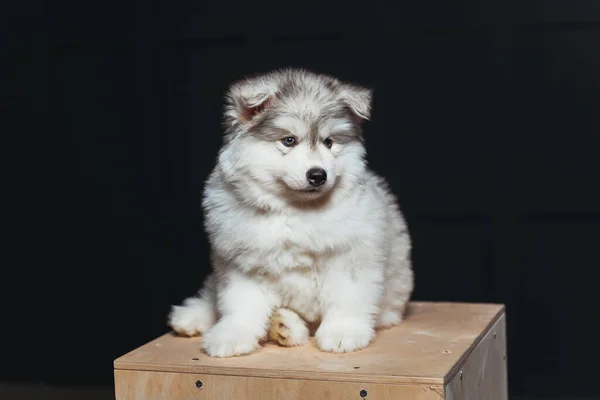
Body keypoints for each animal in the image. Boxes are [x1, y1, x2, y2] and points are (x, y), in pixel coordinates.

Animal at [168, 68, 412, 356]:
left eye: (329, 142)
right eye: (289, 140)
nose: (318, 175)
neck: (294, 210)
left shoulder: (351, 257)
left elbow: (346, 298)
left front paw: (343, 332)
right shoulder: (241, 264)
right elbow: (240, 305)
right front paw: (233, 335)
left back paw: (283, 325)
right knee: (211, 293)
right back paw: (195, 316)